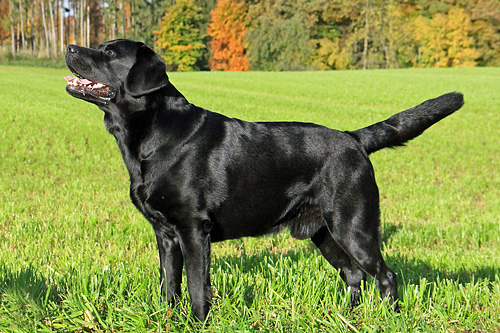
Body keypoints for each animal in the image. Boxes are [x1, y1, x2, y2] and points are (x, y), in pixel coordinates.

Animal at [65, 39, 464, 322]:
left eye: (109, 52)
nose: (69, 47)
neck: (153, 135)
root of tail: (354, 138)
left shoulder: (193, 229)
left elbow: (196, 286)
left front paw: (198, 323)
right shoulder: (165, 234)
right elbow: (169, 285)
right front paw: (168, 319)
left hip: (354, 227)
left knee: (385, 276)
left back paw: (390, 318)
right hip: (324, 233)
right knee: (354, 275)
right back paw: (345, 318)